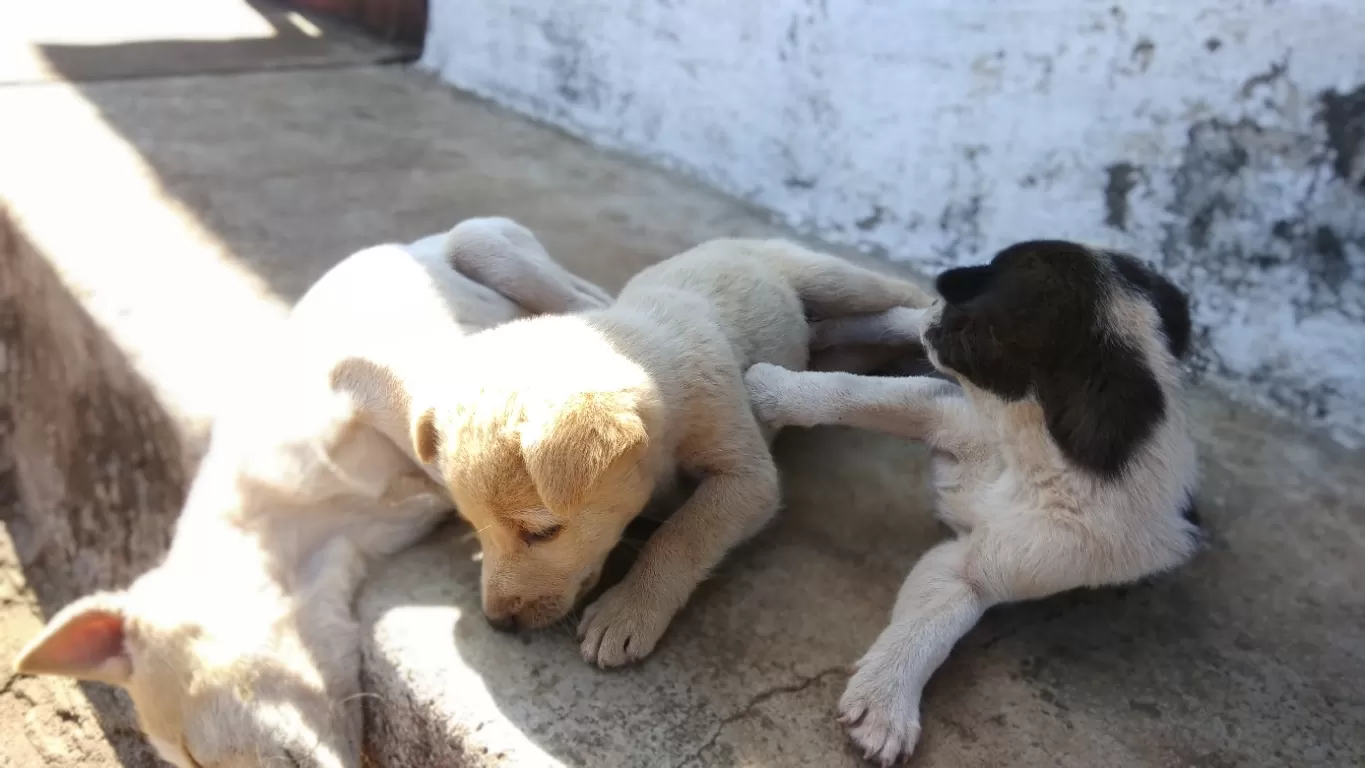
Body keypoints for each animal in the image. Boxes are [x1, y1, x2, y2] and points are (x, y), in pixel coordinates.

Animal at [10, 216, 608, 768]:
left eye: (191, 751)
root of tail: (418, 242)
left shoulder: (353, 389)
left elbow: (420, 419)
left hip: (484, 241)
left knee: (576, 298)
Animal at [409, 238, 933, 668]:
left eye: (543, 533)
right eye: (473, 524)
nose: (498, 622)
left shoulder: (746, 476)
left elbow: (682, 534)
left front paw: (628, 612)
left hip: (829, 278)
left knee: (897, 293)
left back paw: (930, 325)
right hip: (827, 344)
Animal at [742, 238, 1201, 763]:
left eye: (973, 312)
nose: (945, 296)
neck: (1034, 451)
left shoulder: (975, 570)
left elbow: (930, 628)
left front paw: (886, 702)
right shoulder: (941, 406)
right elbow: (848, 392)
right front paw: (769, 388)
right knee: (898, 317)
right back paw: (833, 326)